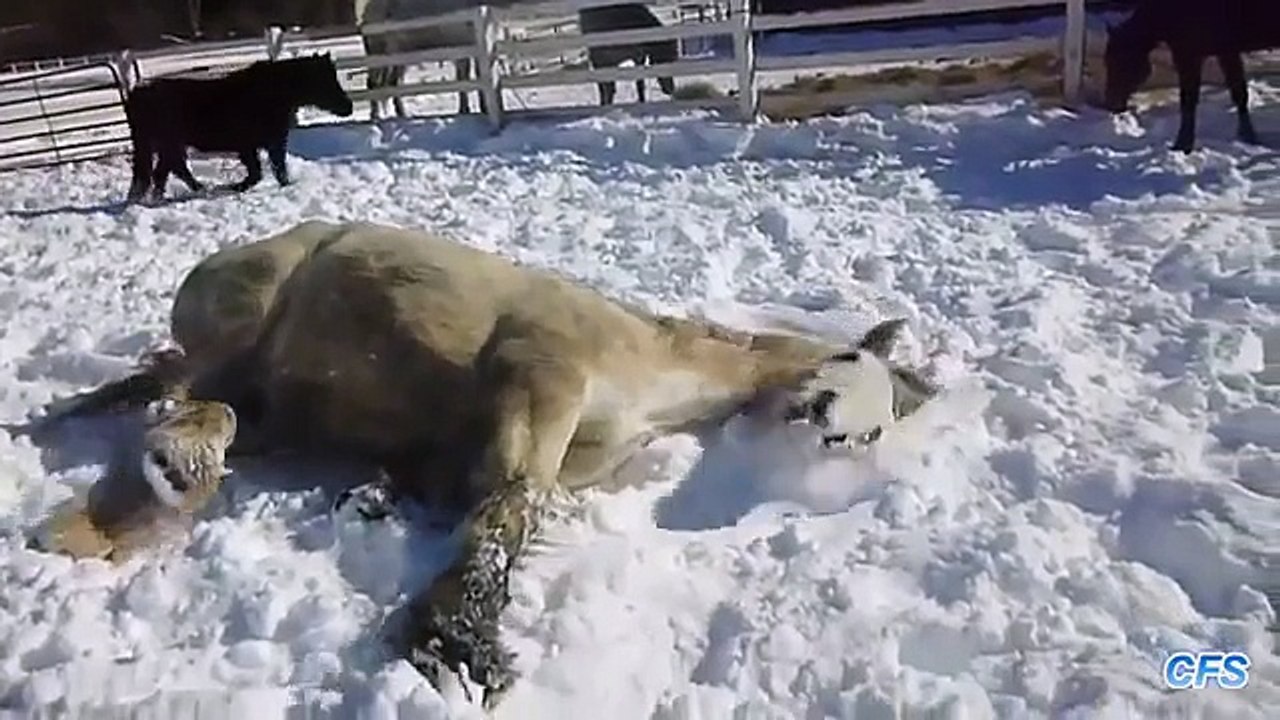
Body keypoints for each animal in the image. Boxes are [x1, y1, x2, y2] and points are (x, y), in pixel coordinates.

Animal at [123, 53, 354, 203]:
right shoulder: (257, 145)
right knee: (169, 170)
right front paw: (237, 187)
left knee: (165, 171)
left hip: (168, 145)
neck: (276, 94)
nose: (349, 107)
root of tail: (136, 95)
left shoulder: (269, 144)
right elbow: (262, 172)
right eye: (325, 80)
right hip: (168, 144)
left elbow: (275, 170)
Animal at [1102, 0, 1280, 152]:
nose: (1111, 103)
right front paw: (1248, 137)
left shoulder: (1189, 56)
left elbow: (1188, 100)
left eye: (1121, 61)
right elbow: (1238, 93)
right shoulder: (1226, 52)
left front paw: (1182, 144)